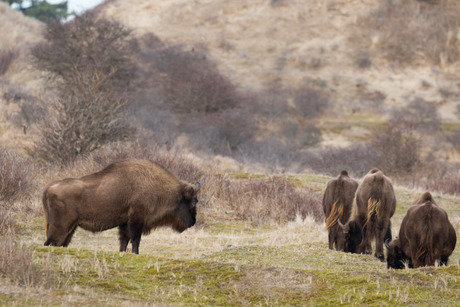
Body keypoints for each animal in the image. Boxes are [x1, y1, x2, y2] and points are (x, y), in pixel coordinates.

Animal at [42, 160, 199, 254]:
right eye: (193, 201)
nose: (193, 222)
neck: (154, 184)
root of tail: (49, 188)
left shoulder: (124, 223)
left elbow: (124, 239)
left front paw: (123, 252)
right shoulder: (137, 219)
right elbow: (135, 238)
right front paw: (136, 253)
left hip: (70, 229)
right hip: (60, 228)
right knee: (49, 243)